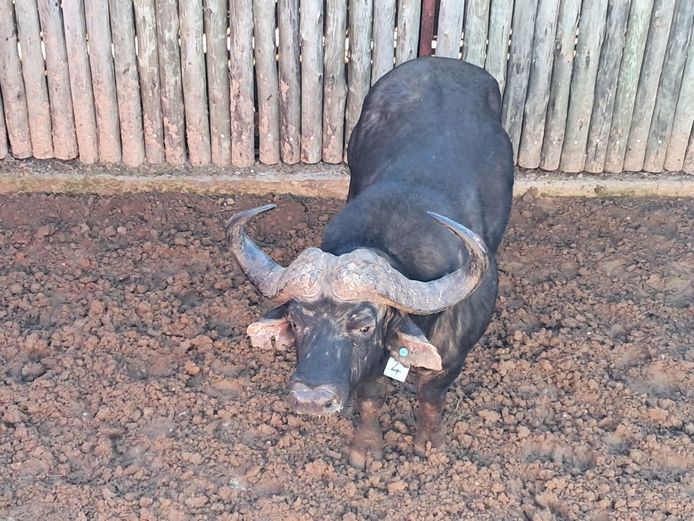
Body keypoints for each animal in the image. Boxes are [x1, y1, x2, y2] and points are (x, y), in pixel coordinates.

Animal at [225, 57, 514, 468]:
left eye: (363, 326)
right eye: (296, 322)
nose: (310, 398)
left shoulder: (454, 356)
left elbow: (431, 394)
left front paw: (429, 443)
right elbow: (370, 395)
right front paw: (366, 447)